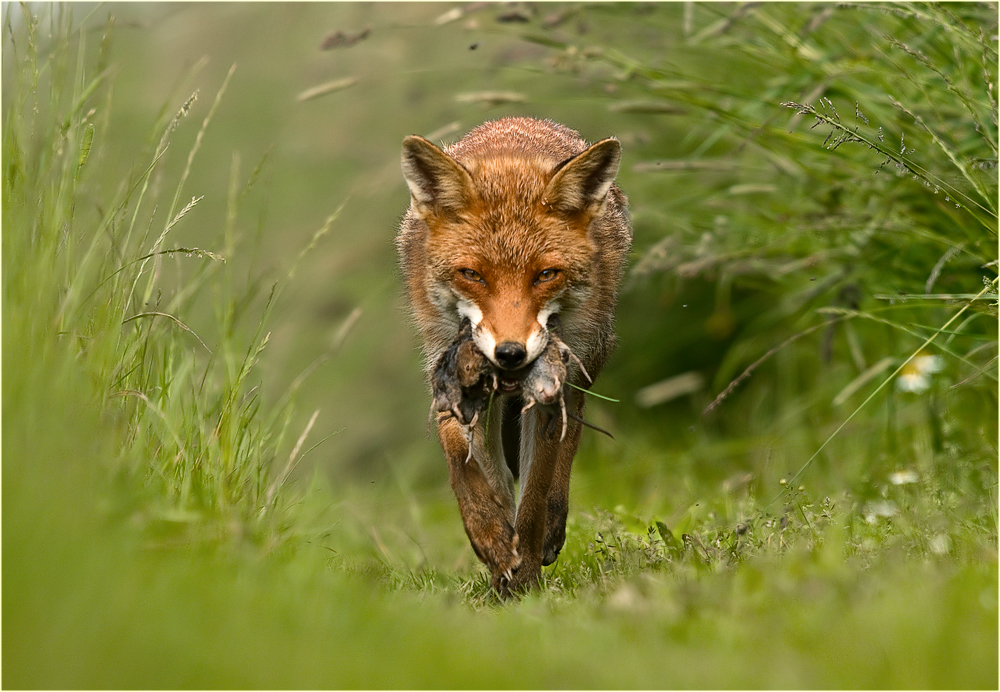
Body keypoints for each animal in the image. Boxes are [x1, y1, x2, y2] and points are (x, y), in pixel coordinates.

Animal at [398, 117, 632, 596]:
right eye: (471, 274)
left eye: (546, 275)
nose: (510, 353)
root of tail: (518, 121)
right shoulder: (444, 364)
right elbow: (463, 461)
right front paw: (490, 539)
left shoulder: (549, 386)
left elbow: (537, 488)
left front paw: (523, 580)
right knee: (503, 476)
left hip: (583, 360)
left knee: (568, 439)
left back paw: (550, 530)